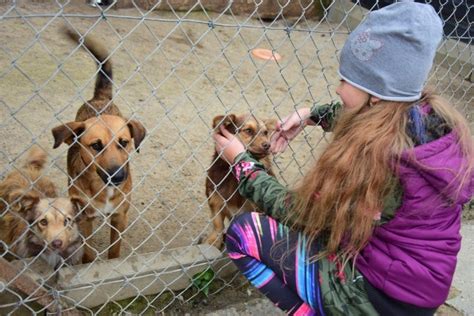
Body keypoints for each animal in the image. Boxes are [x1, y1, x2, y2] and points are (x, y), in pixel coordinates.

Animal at [51, 29, 145, 262]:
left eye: (124, 143)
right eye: (95, 145)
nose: (118, 177)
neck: (104, 189)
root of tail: (100, 98)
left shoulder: (120, 217)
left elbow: (114, 250)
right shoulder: (85, 219)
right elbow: (88, 251)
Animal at [205, 113, 278, 249]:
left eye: (265, 132)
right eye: (248, 131)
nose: (268, 145)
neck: (233, 175)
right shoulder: (215, 197)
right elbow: (217, 223)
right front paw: (213, 240)